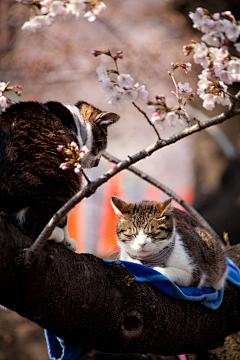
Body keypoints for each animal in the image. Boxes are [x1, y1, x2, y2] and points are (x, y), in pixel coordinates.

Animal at [0, 99, 119, 250]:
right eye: (101, 146)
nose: (97, 163)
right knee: (35, 225)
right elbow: (64, 216)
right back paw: (55, 235)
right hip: (65, 180)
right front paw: (68, 241)